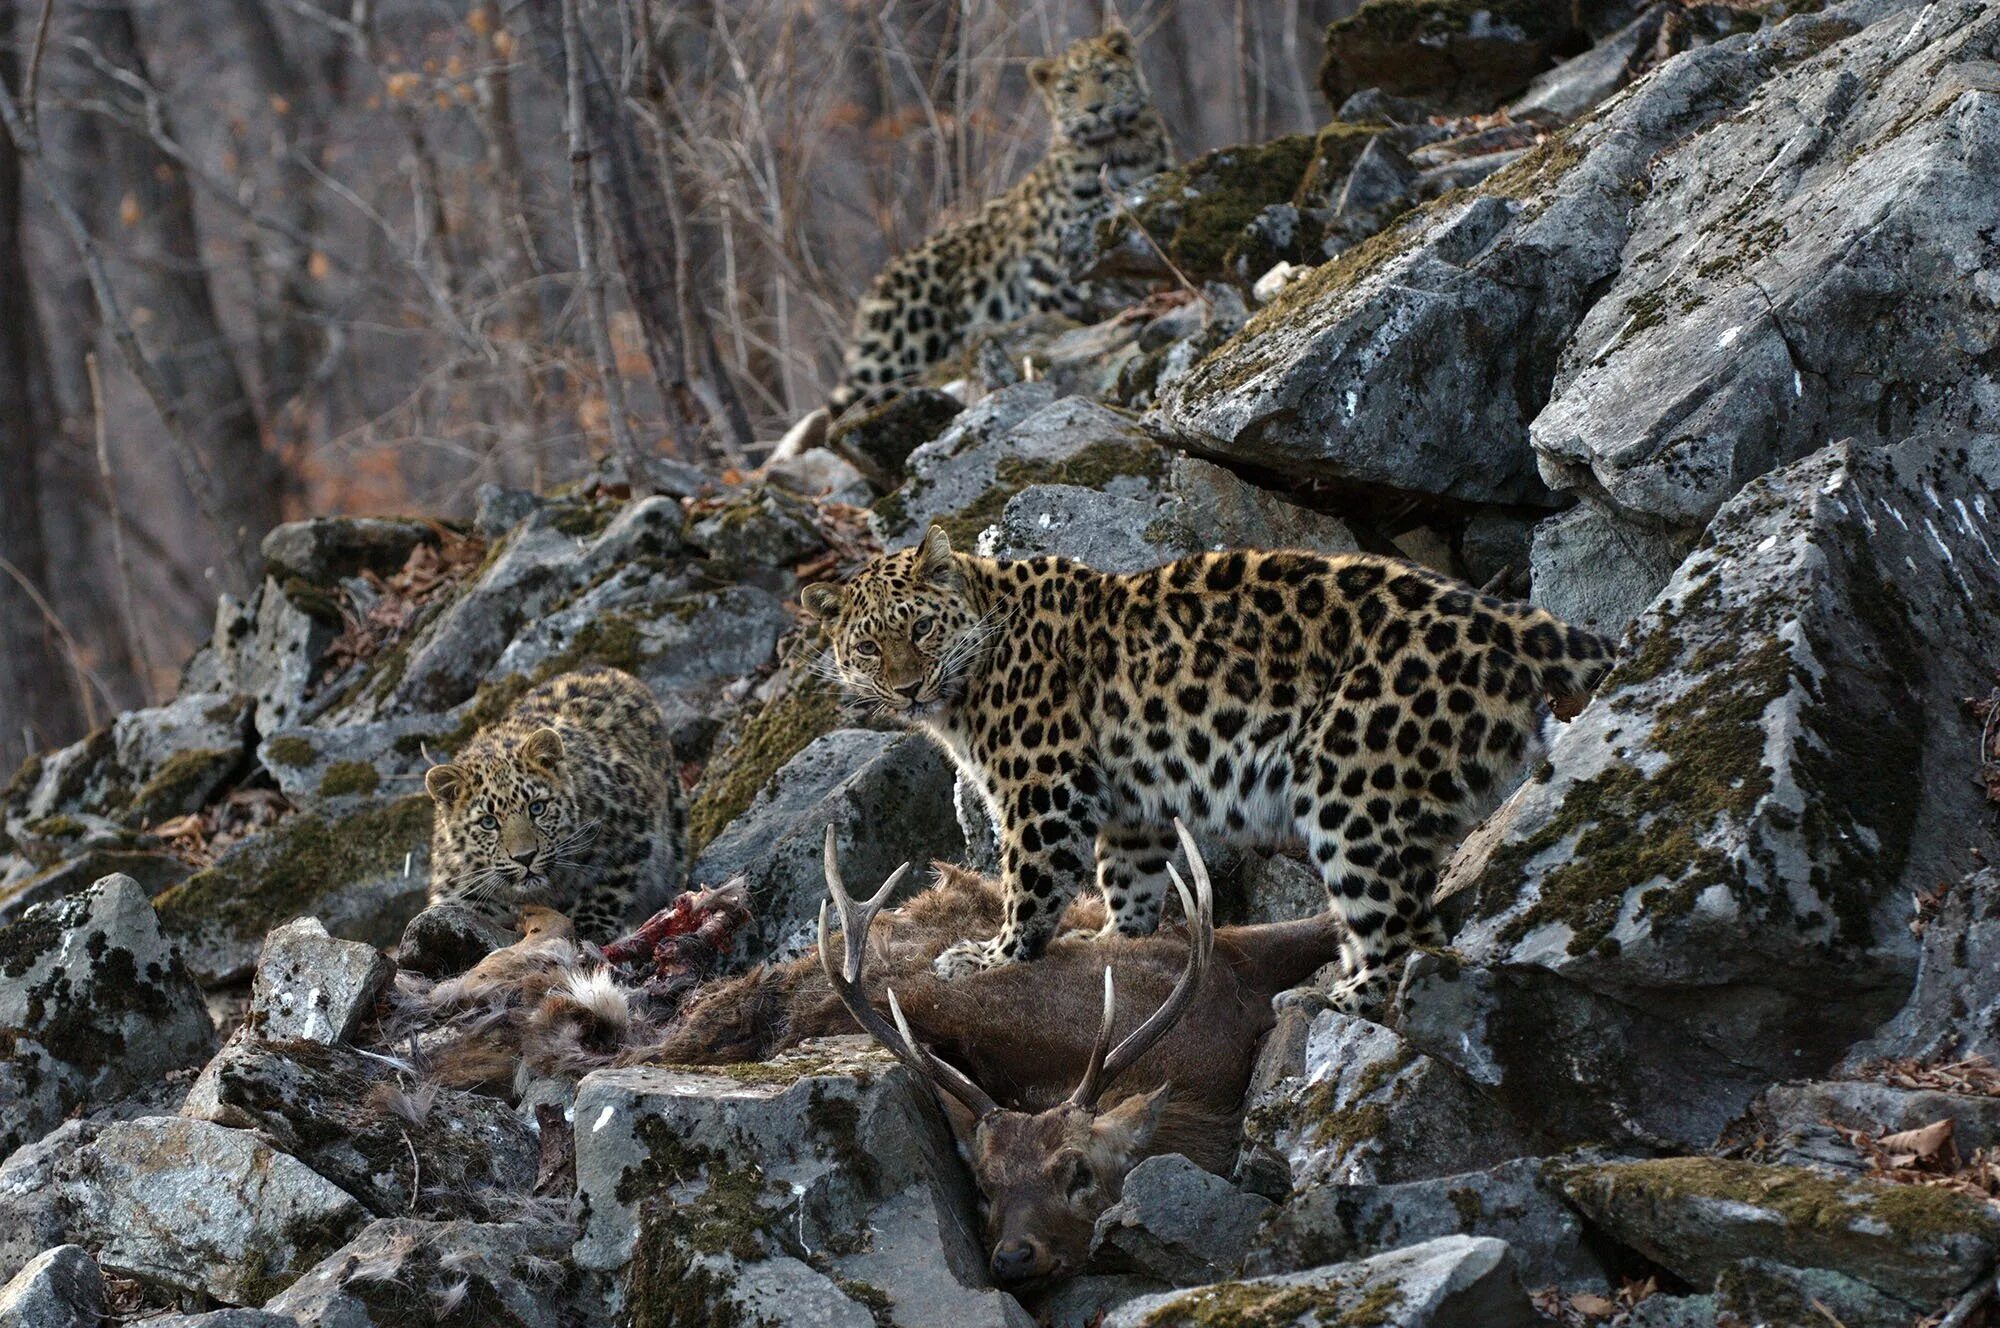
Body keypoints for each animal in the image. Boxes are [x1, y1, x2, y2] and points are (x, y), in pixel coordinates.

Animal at [424, 664, 688, 944]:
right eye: (488, 822)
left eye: (537, 808)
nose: (525, 858)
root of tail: (608, 670)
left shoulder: (634, 828)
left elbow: (607, 886)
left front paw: (588, 927)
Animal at [804, 528, 1616, 1016]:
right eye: (869, 648)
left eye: (920, 628)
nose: (909, 687)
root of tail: (1500, 616)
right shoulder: (1129, 808)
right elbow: (1127, 880)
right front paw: (1115, 945)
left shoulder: (1042, 788)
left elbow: (1029, 885)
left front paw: (992, 957)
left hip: (1349, 784)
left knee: (1403, 929)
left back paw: (1331, 1001)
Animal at [828, 29, 1168, 416]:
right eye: (1069, 89)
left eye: (1107, 77)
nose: (1094, 109)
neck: (1123, 149)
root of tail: (878, 285)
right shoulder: (1048, 270)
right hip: (898, 350)